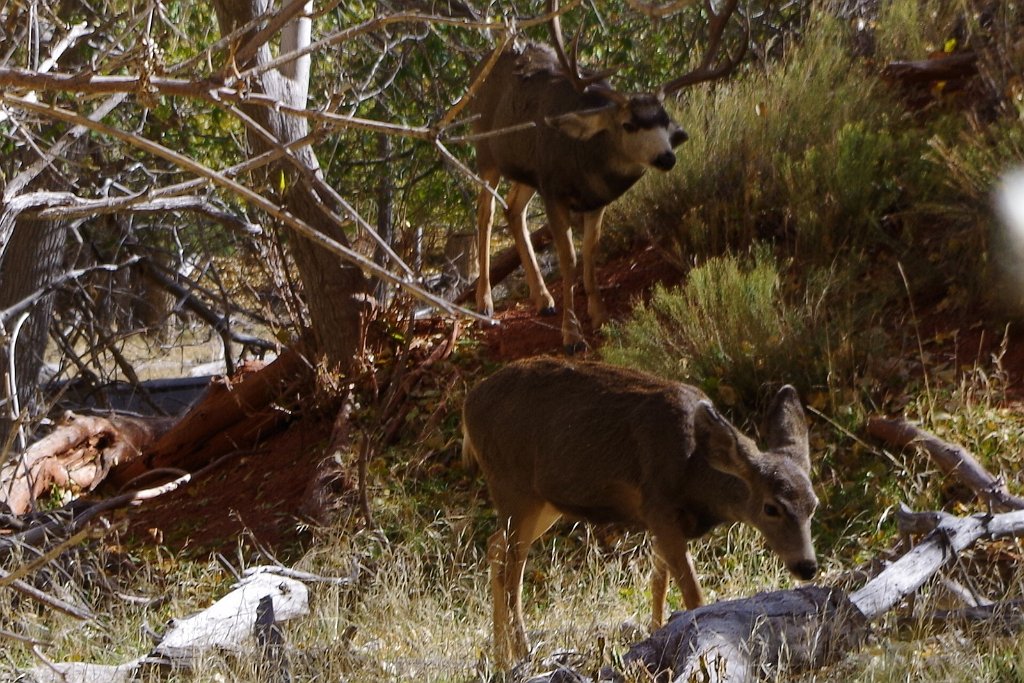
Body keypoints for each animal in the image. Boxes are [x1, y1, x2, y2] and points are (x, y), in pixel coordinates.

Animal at [462, 358, 815, 667]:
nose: (807, 566)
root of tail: (468, 405)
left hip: (544, 503)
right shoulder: (659, 508)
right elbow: (692, 593)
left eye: (813, 506)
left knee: (495, 547)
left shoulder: (660, 520)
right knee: (512, 574)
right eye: (771, 507)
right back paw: (524, 656)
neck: (694, 472)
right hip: (512, 486)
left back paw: (500, 660)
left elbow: (659, 583)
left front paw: (657, 635)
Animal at [468, 0, 745, 352]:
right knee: (485, 213)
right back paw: (485, 304)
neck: (585, 162)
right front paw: (572, 336)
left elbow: (590, 254)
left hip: (525, 169)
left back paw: (543, 299)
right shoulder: (554, 190)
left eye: (665, 120)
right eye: (628, 124)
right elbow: (569, 259)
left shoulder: (592, 199)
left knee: (513, 207)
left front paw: (601, 318)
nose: (666, 157)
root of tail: (481, 65)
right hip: (485, 151)